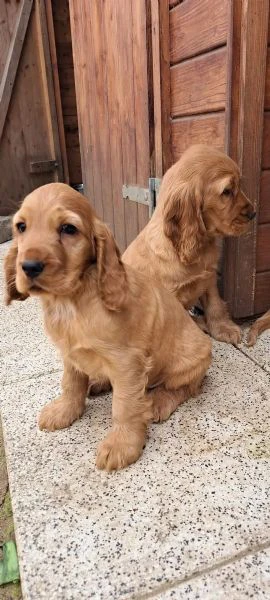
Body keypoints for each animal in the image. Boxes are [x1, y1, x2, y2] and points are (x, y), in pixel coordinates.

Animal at [3, 180, 212, 472]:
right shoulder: (70, 354)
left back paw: (158, 402)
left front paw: (122, 445)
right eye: (21, 226)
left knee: (187, 387)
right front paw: (65, 411)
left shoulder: (127, 362)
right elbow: (71, 383)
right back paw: (99, 382)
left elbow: (124, 406)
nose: (29, 266)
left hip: (192, 358)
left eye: (68, 229)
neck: (71, 301)